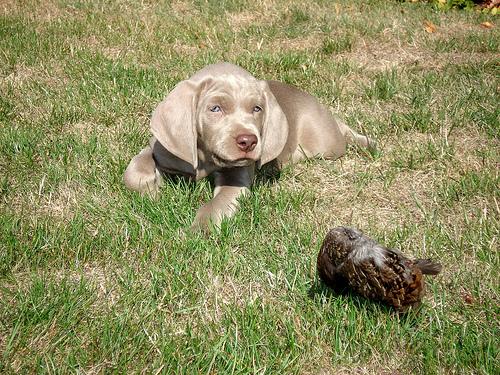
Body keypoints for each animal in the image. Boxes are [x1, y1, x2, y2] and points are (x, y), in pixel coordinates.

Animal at [123, 62, 374, 229]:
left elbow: (214, 205)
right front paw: (151, 190)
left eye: (257, 108)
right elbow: (135, 168)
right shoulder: (164, 150)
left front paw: (200, 230)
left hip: (325, 141)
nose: (248, 141)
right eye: (215, 108)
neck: (206, 158)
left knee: (341, 130)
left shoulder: (236, 178)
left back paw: (367, 142)